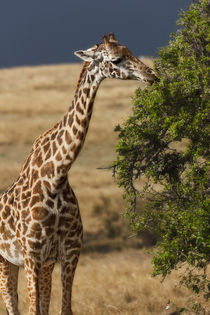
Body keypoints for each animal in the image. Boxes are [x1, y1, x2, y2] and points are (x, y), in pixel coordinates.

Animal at [0, 33, 157, 314]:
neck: (56, 176)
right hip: (6, 260)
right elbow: (32, 309)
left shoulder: (69, 251)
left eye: (130, 51)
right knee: (12, 304)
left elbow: (64, 308)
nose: (152, 75)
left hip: (39, 264)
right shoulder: (31, 253)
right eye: (116, 59)